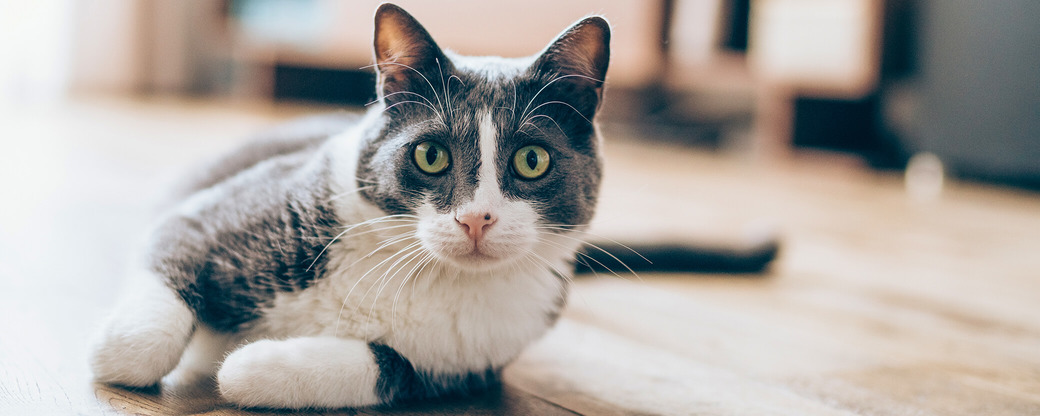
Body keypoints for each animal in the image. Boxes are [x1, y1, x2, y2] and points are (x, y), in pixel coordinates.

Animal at [87, 1, 773, 407]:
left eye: (531, 161)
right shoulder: (209, 215)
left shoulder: (475, 360)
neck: (422, 270)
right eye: (431, 155)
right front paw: (115, 354)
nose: (476, 218)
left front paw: (253, 367)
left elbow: (390, 367)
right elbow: (157, 292)